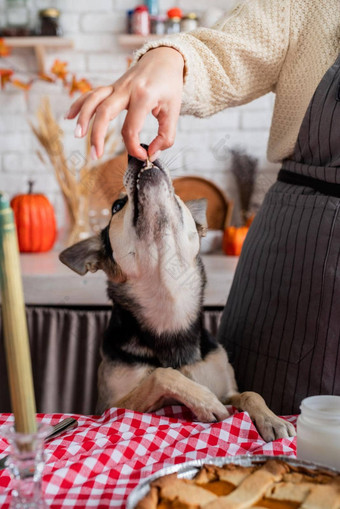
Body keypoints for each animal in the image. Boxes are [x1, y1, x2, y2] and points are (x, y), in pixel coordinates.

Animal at [59, 147, 296, 440]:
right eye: (116, 206)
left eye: (177, 196)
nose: (139, 150)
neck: (169, 299)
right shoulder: (109, 408)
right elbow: (163, 375)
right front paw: (206, 401)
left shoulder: (229, 390)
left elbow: (250, 394)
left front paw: (271, 419)